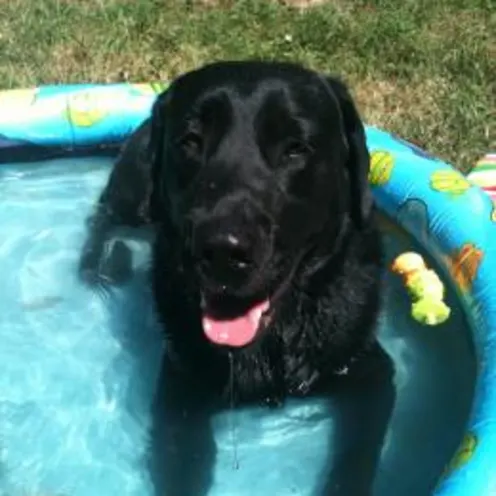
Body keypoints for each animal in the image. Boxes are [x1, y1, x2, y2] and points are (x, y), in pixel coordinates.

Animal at [78, 61, 396, 496]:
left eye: (295, 147)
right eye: (190, 141)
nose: (222, 252)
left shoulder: (369, 373)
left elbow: (354, 461)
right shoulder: (181, 392)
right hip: (131, 194)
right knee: (103, 219)